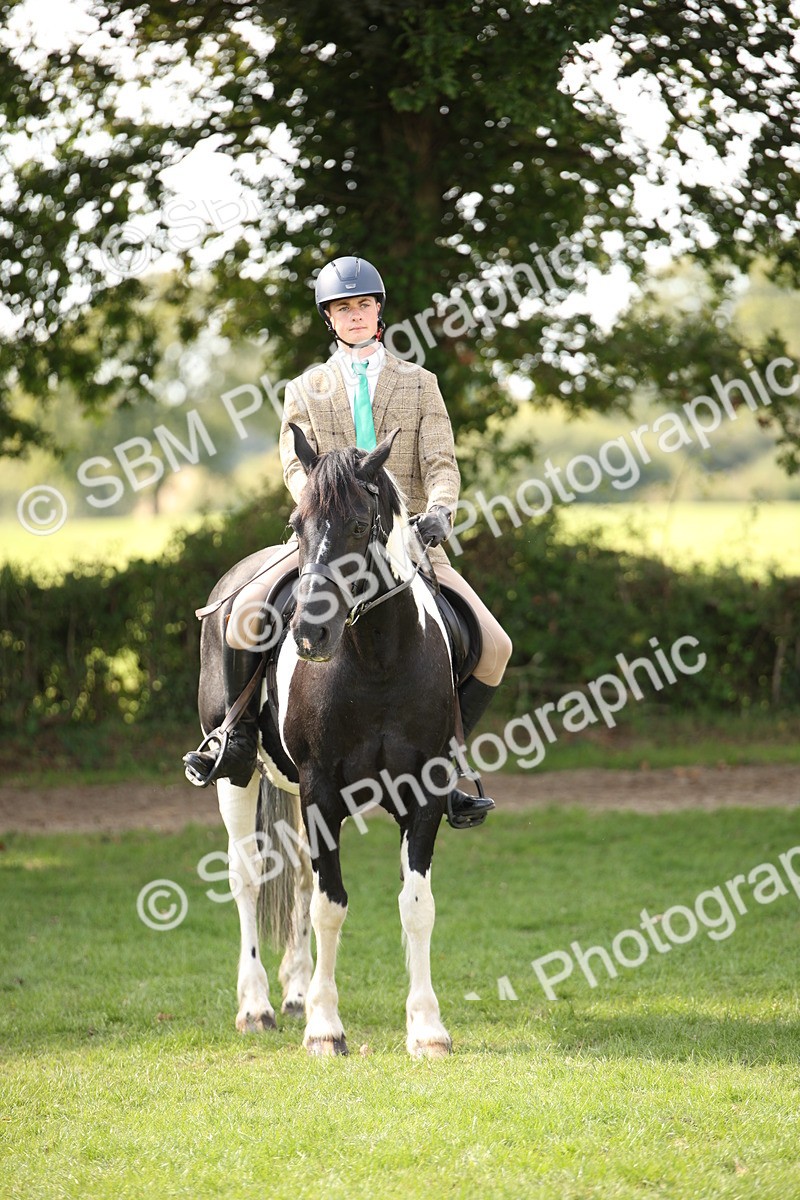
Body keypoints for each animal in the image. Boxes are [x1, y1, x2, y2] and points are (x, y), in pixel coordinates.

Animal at [194, 423, 456, 1057]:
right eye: (297, 523)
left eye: (361, 525)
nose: (310, 632)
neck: (378, 660)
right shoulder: (321, 790)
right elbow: (330, 906)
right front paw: (324, 1027)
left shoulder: (426, 791)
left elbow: (416, 905)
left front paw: (427, 1029)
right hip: (237, 775)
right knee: (247, 875)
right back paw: (258, 1006)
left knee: (295, 877)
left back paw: (293, 992)